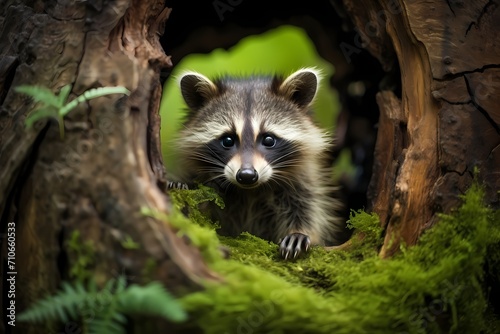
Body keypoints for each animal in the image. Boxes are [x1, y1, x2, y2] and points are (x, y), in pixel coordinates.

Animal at [174, 68, 346, 260]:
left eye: (269, 139)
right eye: (228, 140)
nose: (247, 176)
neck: (249, 191)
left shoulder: (302, 180)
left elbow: (307, 206)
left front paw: (300, 232)